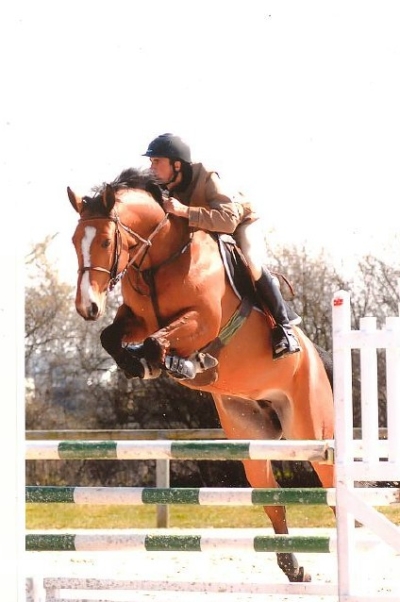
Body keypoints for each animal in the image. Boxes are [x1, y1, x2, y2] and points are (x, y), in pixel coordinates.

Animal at [68, 166, 334, 580]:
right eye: (74, 241)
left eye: (106, 241)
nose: (87, 307)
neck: (159, 260)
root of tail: (314, 357)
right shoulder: (138, 319)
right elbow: (113, 337)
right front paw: (140, 365)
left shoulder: (203, 320)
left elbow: (159, 342)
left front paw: (177, 364)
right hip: (250, 435)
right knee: (272, 497)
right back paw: (293, 567)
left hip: (313, 431)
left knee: (335, 488)